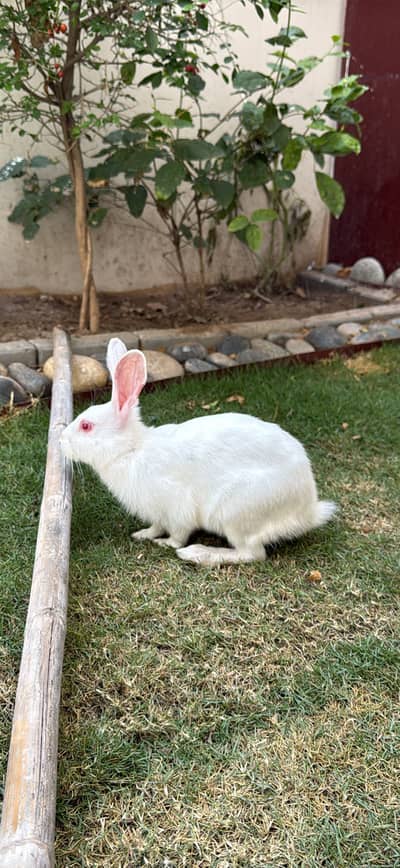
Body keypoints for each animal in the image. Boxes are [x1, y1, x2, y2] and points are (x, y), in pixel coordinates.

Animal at [60, 337, 336, 566]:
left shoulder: (177, 506)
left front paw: (165, 544)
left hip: (235, 513)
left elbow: (178, 534)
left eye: (86, 426)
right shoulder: (157, 513)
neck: (131, 449)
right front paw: (142, 535)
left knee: (252, 554)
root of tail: (307, 511)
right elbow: (156, 525)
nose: (61, 440)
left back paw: (197, 554)